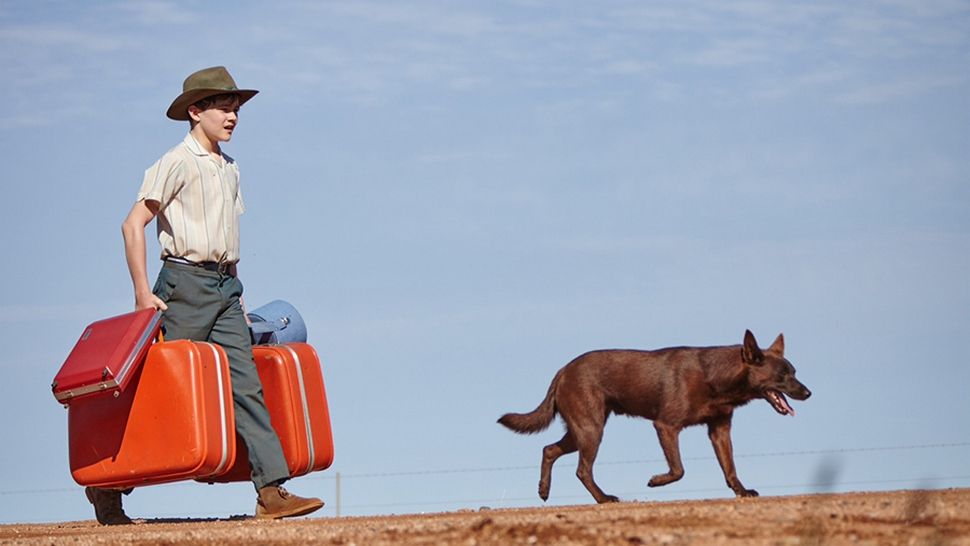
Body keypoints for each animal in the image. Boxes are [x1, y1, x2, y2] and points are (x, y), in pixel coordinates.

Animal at [500, 328, 808, 502]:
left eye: (794, 372)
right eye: (783, 375)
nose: (808, 393)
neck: (716, 377)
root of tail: (562, 371)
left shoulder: (719, 430)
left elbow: (730, 467)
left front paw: (742, 492)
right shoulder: (666, 426)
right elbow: (679, 469)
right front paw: (655, 481)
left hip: (581, 430)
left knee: (549, 449)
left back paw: (544, 490)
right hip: (591, 430)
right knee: (582, 469)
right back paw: (603, 498)